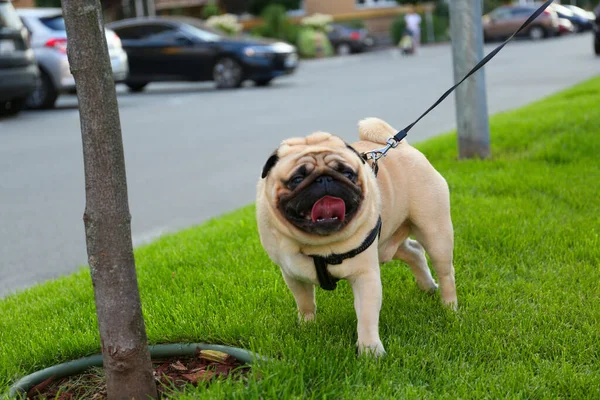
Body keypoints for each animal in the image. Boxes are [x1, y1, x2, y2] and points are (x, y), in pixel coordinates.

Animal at [255, 116, 458, 356]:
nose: (325, 180)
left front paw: (370, 351)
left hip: (435, 233)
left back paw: (450, 307)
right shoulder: (292, 275)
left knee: (445, 272)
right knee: (415, 252)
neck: (321, 244)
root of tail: (403, 146)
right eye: (297, 179)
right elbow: (305, 303)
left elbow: (367, 317)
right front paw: (307, 326)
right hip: (386, 242)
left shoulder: (365, 276)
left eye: (347, 174)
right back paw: (427, 286)